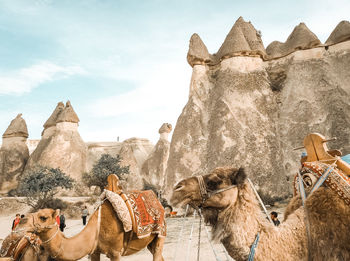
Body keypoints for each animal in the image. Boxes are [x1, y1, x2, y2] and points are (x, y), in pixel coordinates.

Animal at [22, 198, 165, 258]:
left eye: (43, 217)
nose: (22, 219)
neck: (97, 228)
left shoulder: (115, 252)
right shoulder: (95, 250)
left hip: (160, 234)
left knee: (157, 252)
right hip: (150, 242)